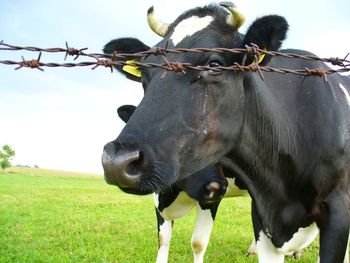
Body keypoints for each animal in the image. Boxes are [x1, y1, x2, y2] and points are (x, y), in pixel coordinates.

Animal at [102, 2, 350, 263]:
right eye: (145, 72)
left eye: (215, 64)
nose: (117, 161)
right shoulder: (260, 212)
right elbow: (163, 238)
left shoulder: (337, 209)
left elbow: (198, 242)